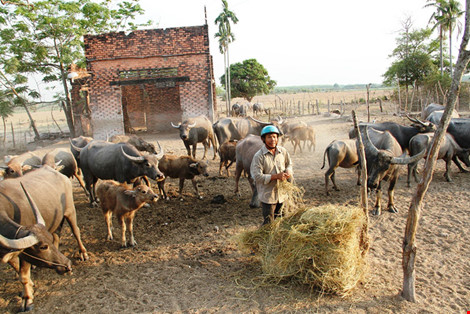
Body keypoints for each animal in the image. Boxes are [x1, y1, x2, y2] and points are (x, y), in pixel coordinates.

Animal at [0, 168, 88, 310]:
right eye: (43, 247)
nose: (68, 265)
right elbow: (17, 268)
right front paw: (29, 287)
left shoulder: (24, 251)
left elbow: (23, 275)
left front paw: (27, 299)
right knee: (56, 235)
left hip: (70, 211)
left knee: (76, 231)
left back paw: (83, 253)